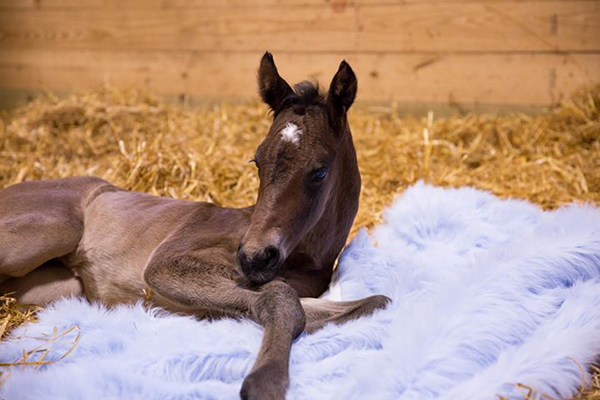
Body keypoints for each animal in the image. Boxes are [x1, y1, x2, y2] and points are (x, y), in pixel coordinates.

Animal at [0, 54, 390, 400]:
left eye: (320, 171)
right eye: (257, 161)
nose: (254, 257)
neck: (300, 261)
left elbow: (370, 302)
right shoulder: (167, 263)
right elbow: (281, 298)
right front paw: (265, 382)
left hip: (57, 288)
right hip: (52, 229)